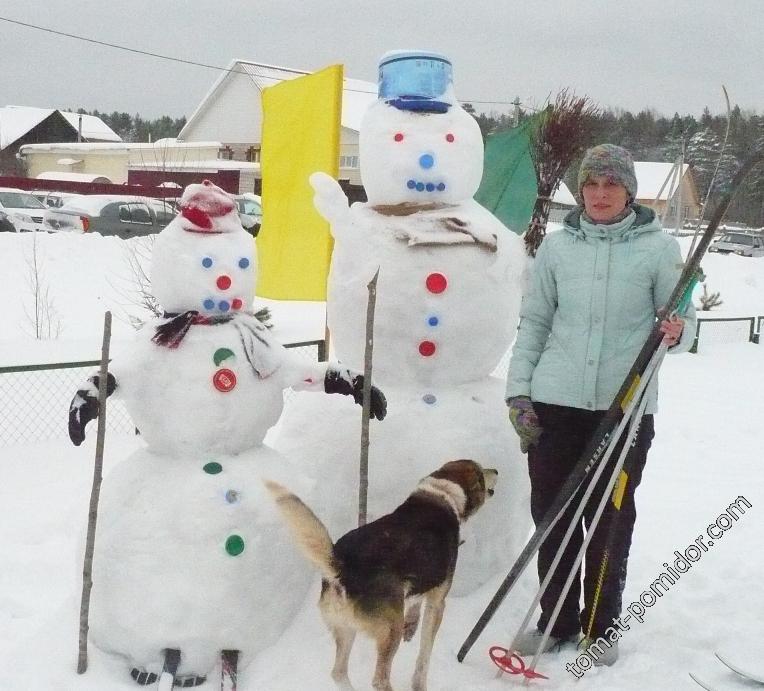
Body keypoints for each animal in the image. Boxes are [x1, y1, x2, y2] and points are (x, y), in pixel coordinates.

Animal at [266, 460, 498, 691]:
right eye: (481, 471)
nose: (496, 470)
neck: (443, 492)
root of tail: (342, 568)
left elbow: (415, 605)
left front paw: (411, 627)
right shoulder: (438, 602)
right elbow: (423, 658)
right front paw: (419, 683)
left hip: (345, 629)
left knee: (338, 673)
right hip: (389, 631)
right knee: (379, 680)